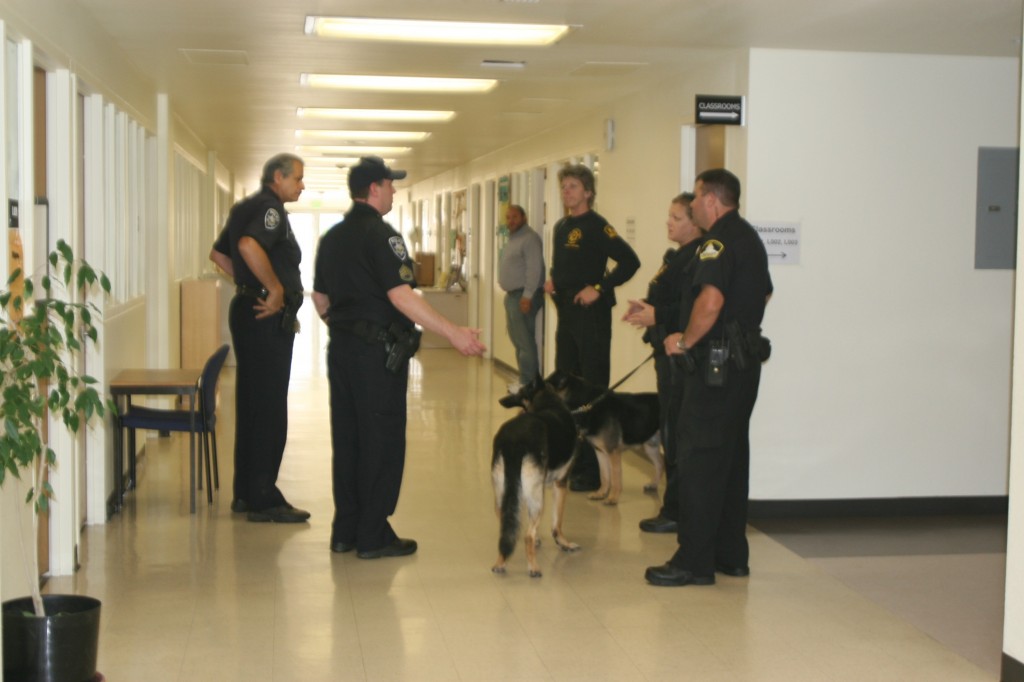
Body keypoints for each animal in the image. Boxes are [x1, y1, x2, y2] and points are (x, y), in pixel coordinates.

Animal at [491, 374, 581, 577]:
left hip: (503, 493)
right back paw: (533, 568)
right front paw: (564, 543)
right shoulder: (560, 485)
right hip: (537, 498)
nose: (501, 400)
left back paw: (501, 563)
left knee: (506, 529)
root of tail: (514, 441)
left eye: (520, 391)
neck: (549, 403)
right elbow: (557, 524)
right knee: (527, 536)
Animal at [544, 366, 663, 503]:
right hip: (650, 446)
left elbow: (615, 477)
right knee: (660, 465)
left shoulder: (613, 452)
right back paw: (653, 484)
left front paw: (613, 497)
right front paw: (601, 493)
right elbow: (604, 475)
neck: (587, 404)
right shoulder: (600, 452)